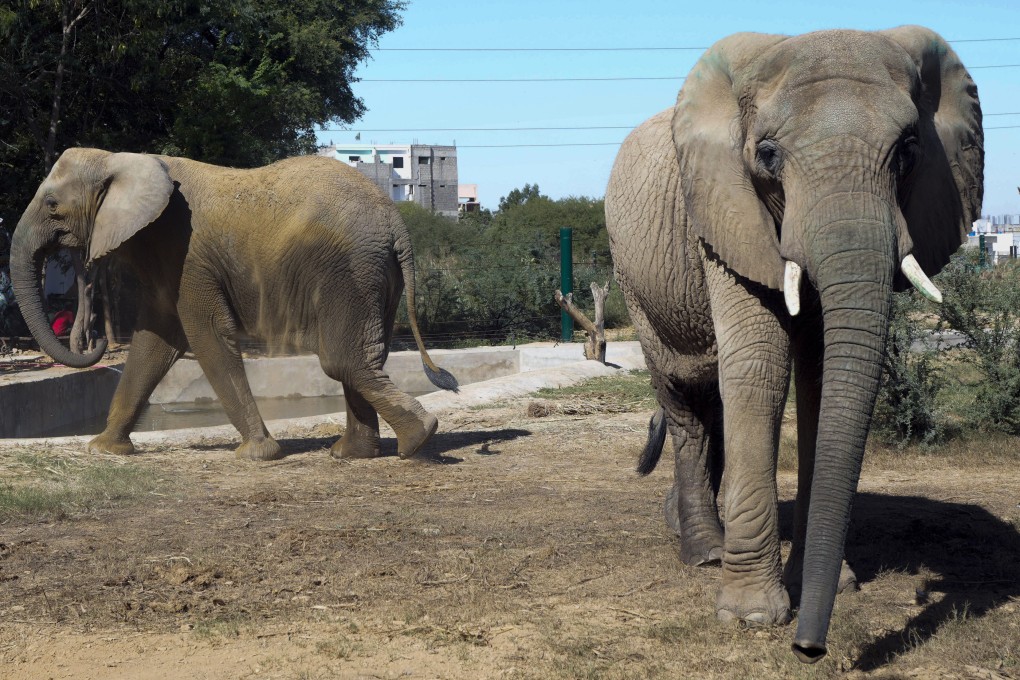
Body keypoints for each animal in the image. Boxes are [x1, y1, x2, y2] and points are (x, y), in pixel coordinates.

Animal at [11, 149, 458, 462]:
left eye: (52, 205)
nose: (96, 341)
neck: (120, 157)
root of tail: (397, 223)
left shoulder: (189, 254)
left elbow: (206, 333)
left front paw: (256, 454)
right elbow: (154, 342)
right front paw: (104, 449)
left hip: (350, 270)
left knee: (342, 360)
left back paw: (418, 439)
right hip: (374, 275)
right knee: (360, 358)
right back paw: (355, 454)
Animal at [605, 27, 982, 662]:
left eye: (908, 149)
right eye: (768, 155)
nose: (810, 648)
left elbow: (821, 371)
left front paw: (834, 585)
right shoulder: (725, 213)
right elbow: (760, 361)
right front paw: (752, 617)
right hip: (634, 282)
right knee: (684, 398)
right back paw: (703, 551)